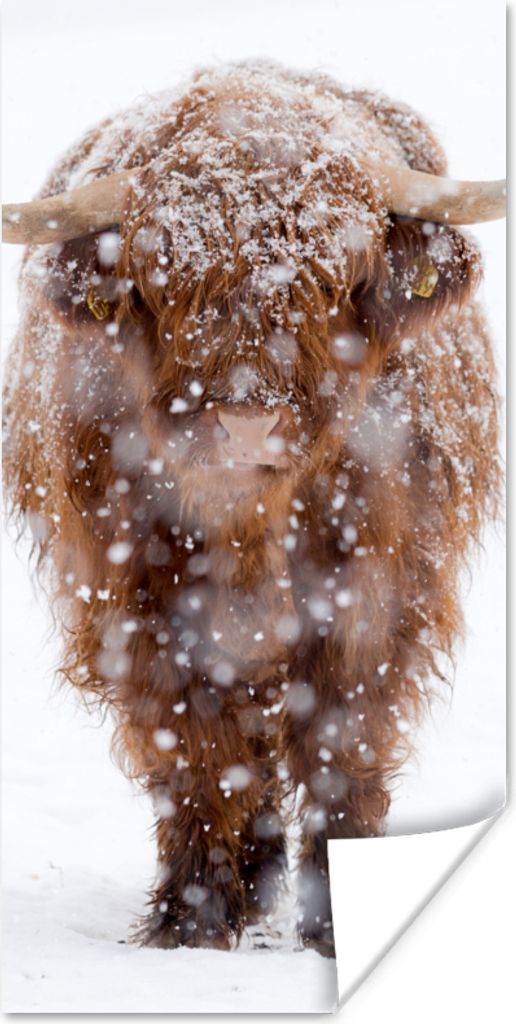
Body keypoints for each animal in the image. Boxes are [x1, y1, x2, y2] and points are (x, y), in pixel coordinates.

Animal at [2, 61, 504, 957]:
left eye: (333, 278)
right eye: (166, 279)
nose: (244, 422)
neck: (250, 524)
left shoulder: (376, 595)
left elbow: (343, 739)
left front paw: (337, 922)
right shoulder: (138, 603)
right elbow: (195, 751)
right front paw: (191, 918)